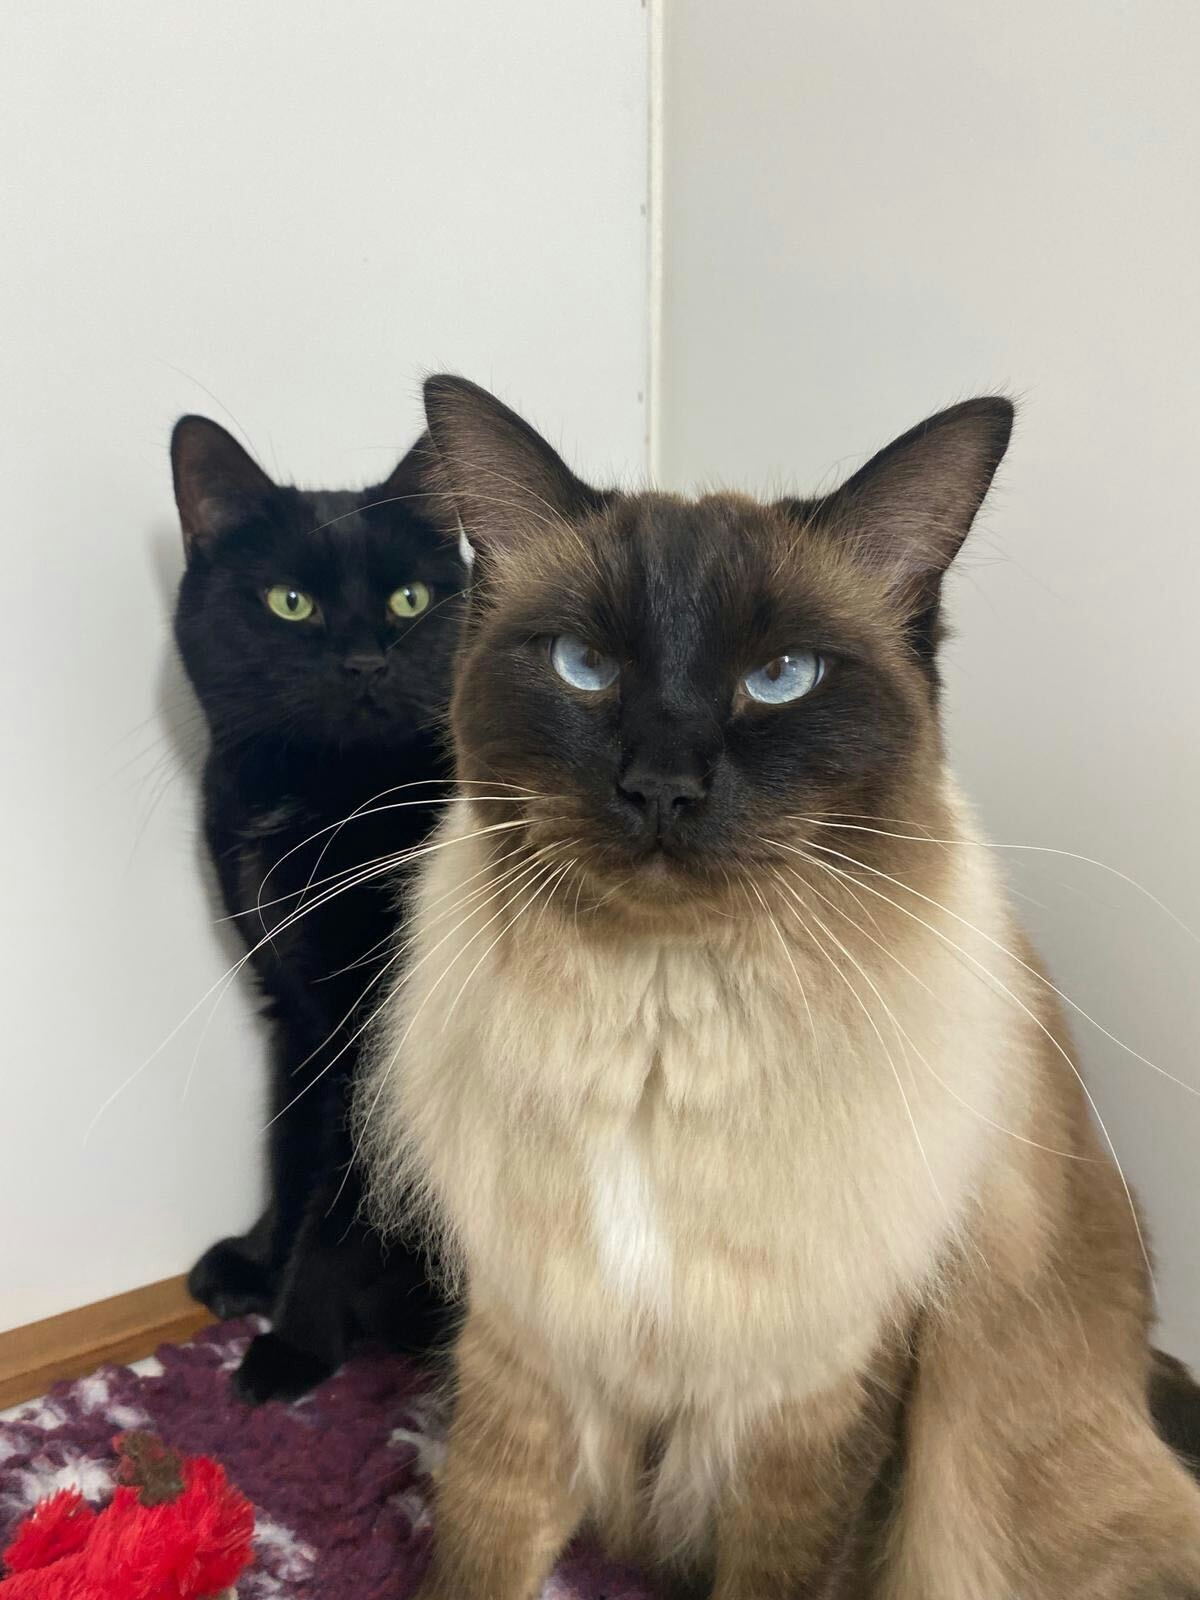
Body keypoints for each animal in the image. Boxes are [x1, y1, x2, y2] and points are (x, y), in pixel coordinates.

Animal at [171, 414, 463, 1403]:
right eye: (289, 602)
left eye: (410, 599)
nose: (366, 660)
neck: (320, 794)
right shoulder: (294, 1009)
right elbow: (287, 1140)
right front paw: (260, 1260)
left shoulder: (379, 1030)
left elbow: (342, 1202)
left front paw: (293, 1342)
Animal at [358, 376, 1200, 1598]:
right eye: (582, 666)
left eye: (780, 681)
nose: (662, 786)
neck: (656, 1040)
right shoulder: (530, 1342)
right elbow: (479, 1547)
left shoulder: (812, 1396)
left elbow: (789, 1567)